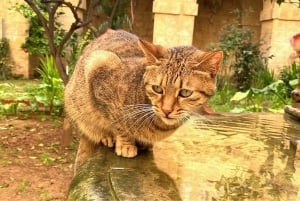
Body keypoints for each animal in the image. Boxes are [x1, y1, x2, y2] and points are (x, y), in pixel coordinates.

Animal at [63, 29, 223, 170]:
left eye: (185, 93)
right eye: (157, 88)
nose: (166, 110)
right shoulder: (99, 68)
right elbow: (117, 124)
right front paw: (126, 144)